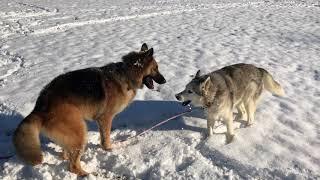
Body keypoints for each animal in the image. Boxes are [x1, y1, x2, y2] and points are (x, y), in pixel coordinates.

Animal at [13, 43, 166, 176]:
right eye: (156, 68)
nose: (164, 81)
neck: (126, 74)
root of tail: (40, 106)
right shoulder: (105, 119)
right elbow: (105, 138)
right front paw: (108, 149)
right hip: (80, 132)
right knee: (72, 166)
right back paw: (85, 174)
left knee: (67, 154)